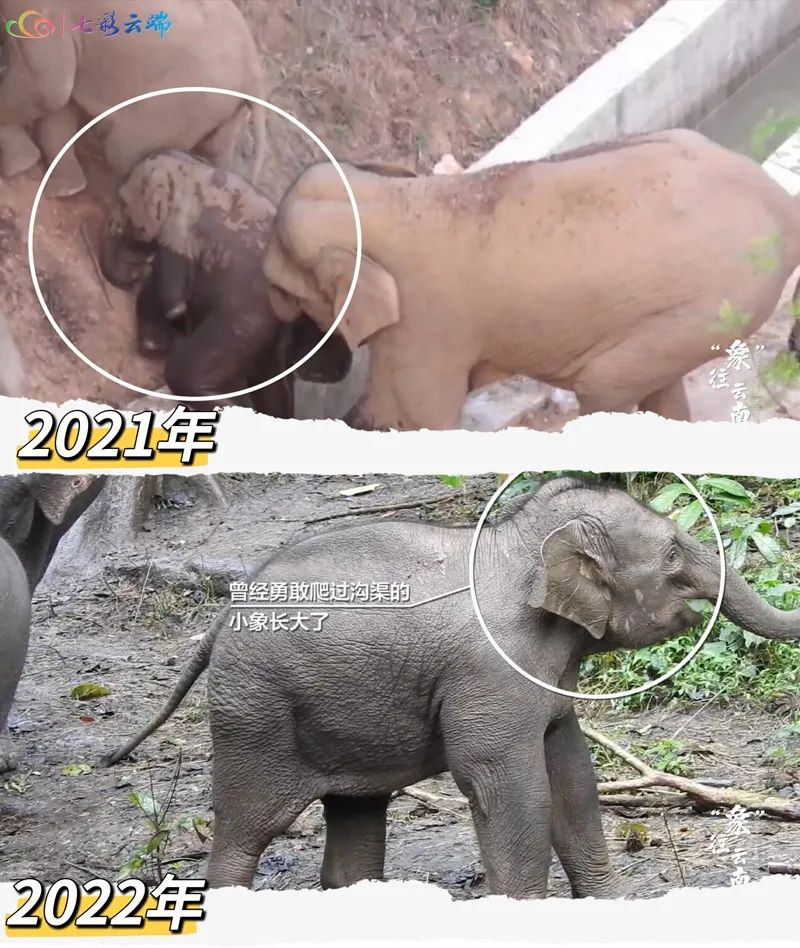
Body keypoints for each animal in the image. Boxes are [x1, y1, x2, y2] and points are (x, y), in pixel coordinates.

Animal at [0, 0, 265, 197]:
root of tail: (255, 71)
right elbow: (63, 99)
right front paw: (64, 188)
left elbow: (49, 89)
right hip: (222, 109)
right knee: (218, 154)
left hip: (182, 99)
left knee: (122, 147)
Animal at [99, 149, 355, 416]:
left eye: (122, 202)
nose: (139, 266)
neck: (189, 167)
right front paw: (156, 342)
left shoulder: (180, 229)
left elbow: (172, 290)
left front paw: (167, 324)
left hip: (248, 318)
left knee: (184, 373)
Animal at [103, 475, 800, 898]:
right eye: (675, 556)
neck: (517, 545)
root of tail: (224, 613)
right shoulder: (492, 674)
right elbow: (508, 788)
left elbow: (573, 777)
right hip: (255, 712)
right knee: (247, 827)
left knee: (356, 814)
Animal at [262, 129, 800, 430]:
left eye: (283, 292)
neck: (385, 197)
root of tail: (778, 200)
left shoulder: (426, 324)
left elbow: (421, 418)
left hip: (714, 303)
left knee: (605, 387)